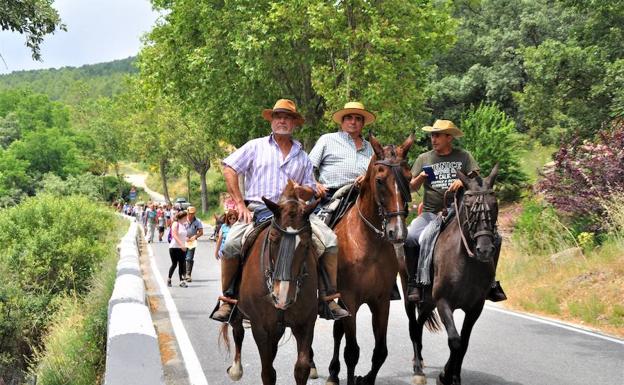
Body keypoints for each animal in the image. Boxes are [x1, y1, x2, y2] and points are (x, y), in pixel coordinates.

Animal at [219, 181, 320, 384]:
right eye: (273, 238)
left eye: (306, 243)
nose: (282, 297)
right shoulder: (261, 328)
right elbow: (268, 372)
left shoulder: (305, 323)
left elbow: (301, 368)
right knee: (238, 331)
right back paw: (236, 369)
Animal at [326, 133, 414, 384]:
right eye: (380, 180)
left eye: (408, 177)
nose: (398, 232)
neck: (369, 244)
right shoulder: (349, 300)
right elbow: (352, 352)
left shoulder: (381, 301)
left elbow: (380, 352)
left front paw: (365, 378)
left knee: (337, 332)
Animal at [400, 164, 502, 384]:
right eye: (469, 207)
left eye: (494, 205)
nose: (484, 250)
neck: (466, 260)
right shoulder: (444, 302)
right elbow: (455, 340)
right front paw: (445, 375)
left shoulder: (475, 308)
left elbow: (463, 343)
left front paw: (453, 375)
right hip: (411, 296)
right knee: (412, 325)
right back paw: (418, 369)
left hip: (429, 302)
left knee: (419, 324)